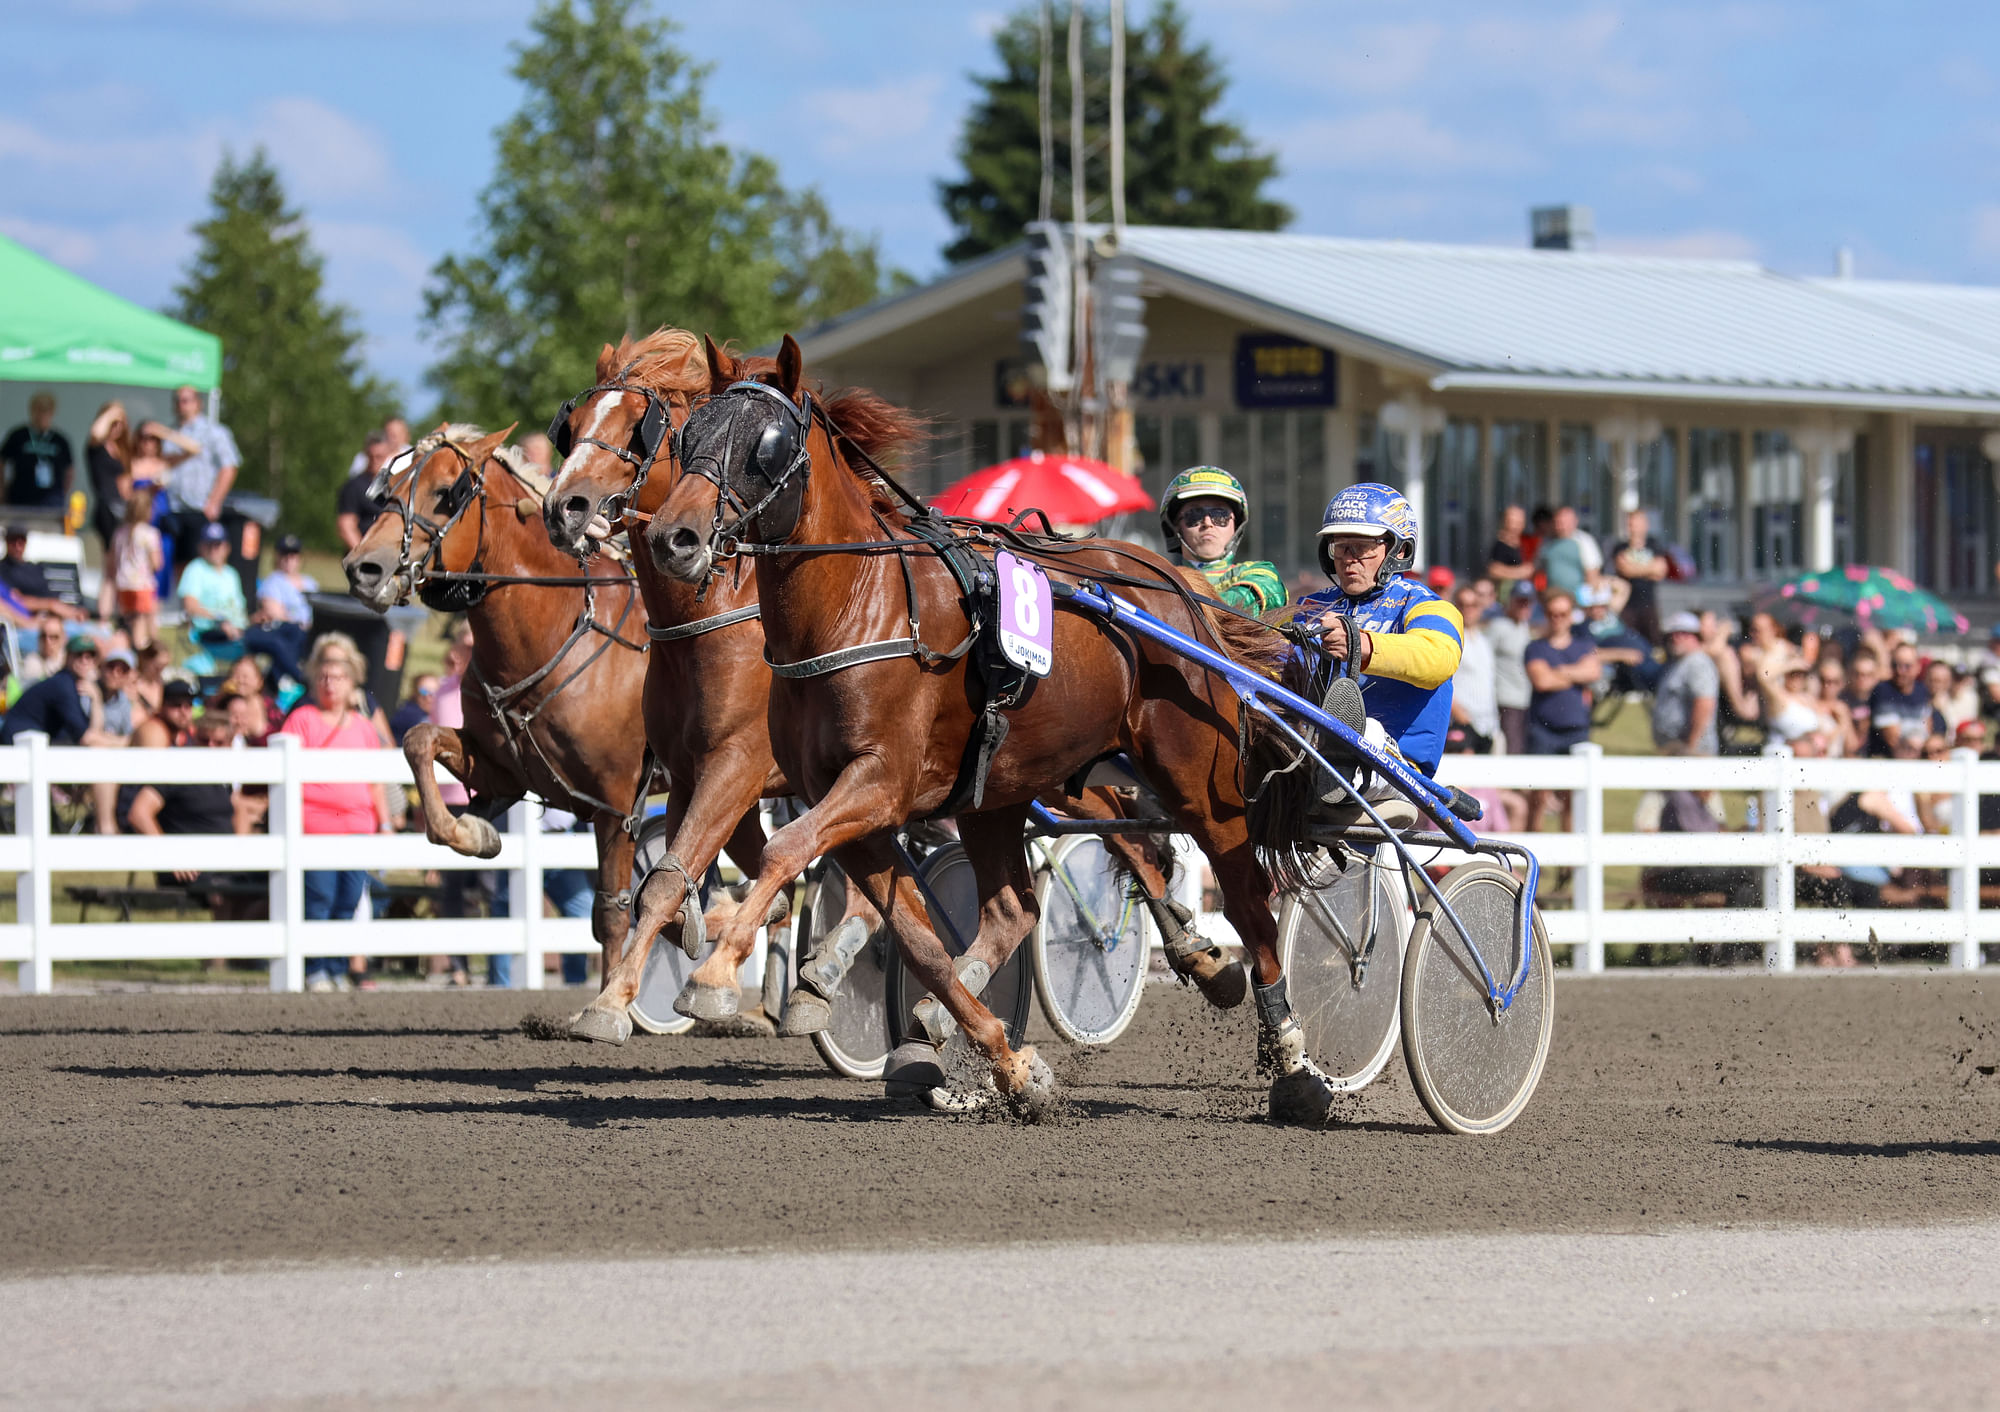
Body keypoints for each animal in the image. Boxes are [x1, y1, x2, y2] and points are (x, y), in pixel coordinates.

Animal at [344, 420, 652, 980]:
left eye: (446, 493)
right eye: (388, 488)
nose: (363, 569)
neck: (555, 632)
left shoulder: (617, 803)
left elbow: (614, 913)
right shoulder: (502, 769)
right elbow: (419, 740)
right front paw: (470, 831)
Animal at [644, 336, 1344, 1120]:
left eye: (765, 446)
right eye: (689, 436)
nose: (673, 538)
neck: (857, 609)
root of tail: (1176, 584)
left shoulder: (876, 785)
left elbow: (782, 849)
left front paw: (712, 978)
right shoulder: (854, 810)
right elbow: (920, 944)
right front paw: (1010, 1067)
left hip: (1199, 779)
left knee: (1251, 904)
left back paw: (1292, 1063)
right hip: (1001, 789)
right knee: (1019, 906)